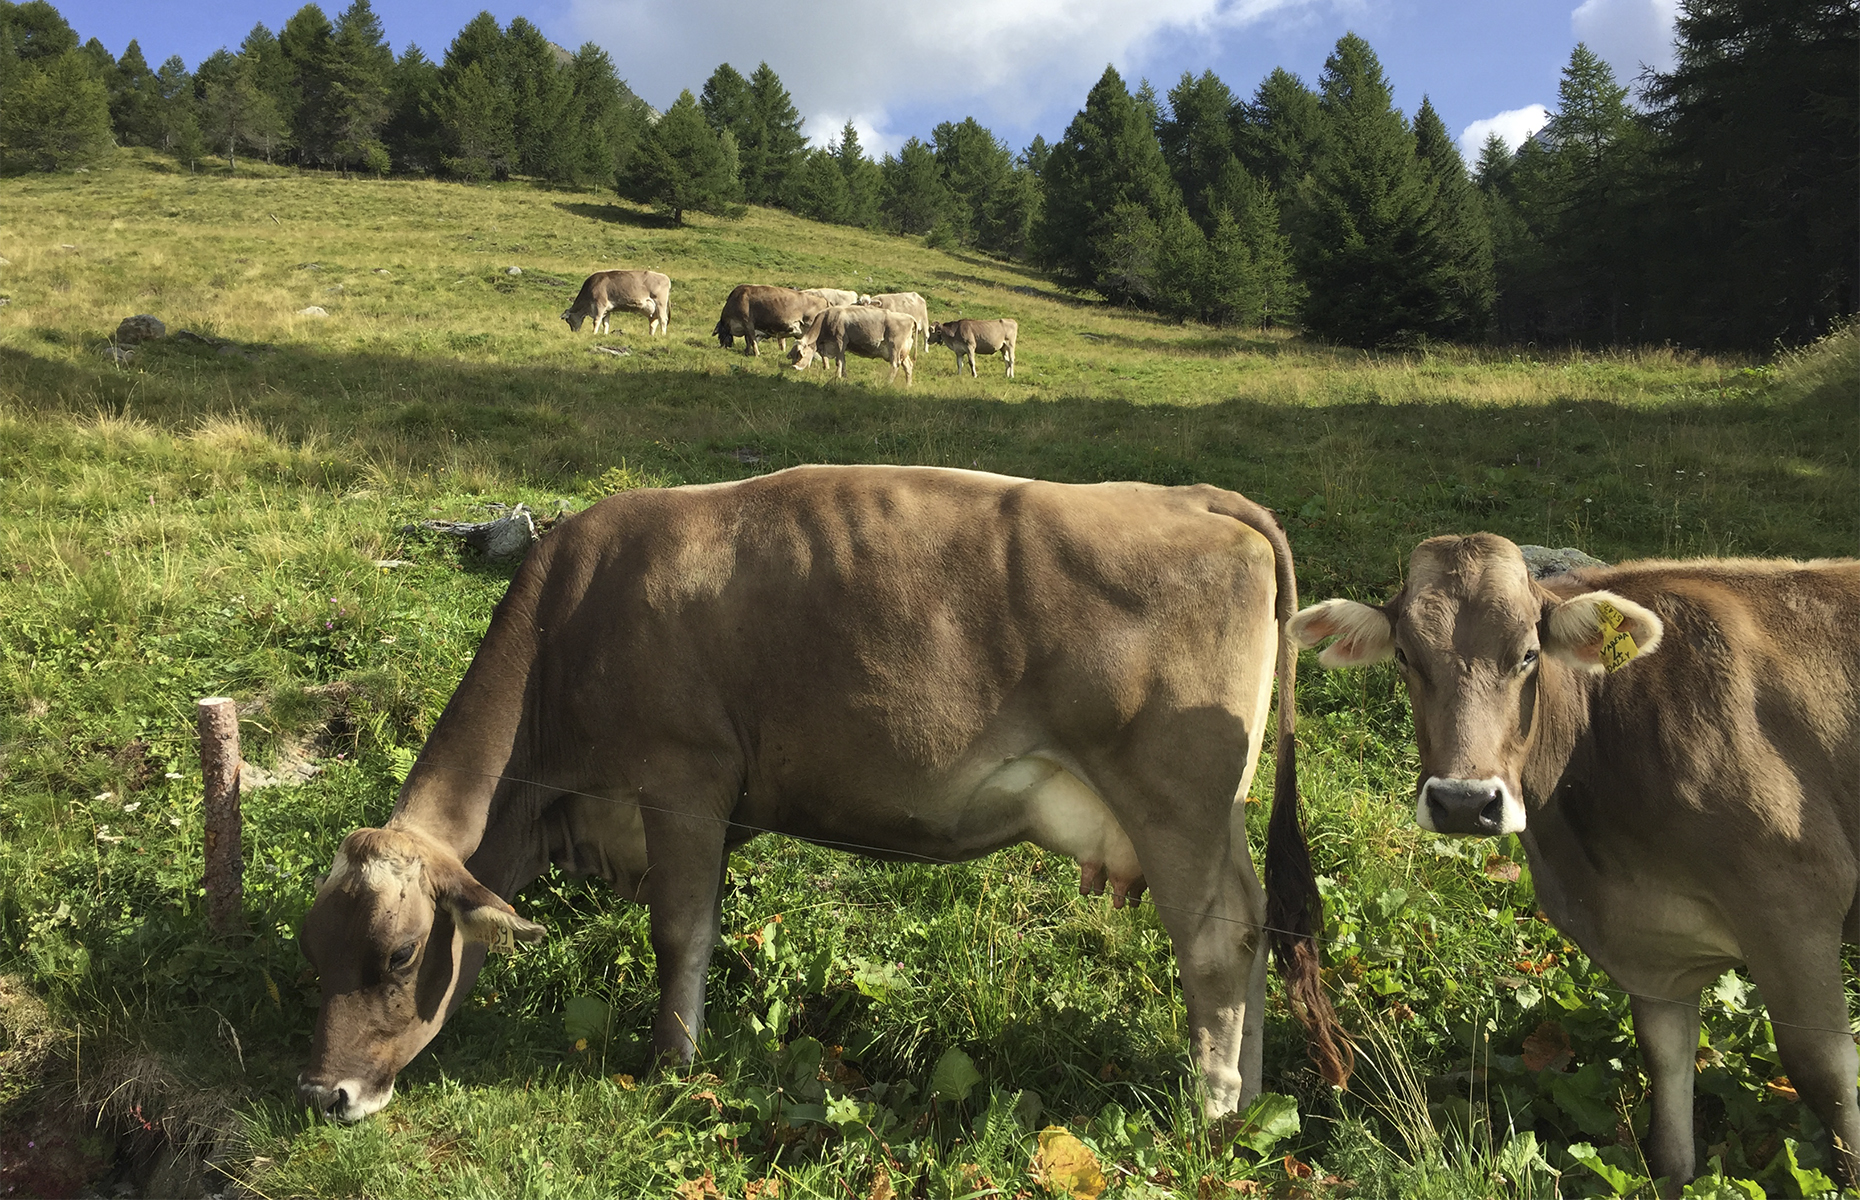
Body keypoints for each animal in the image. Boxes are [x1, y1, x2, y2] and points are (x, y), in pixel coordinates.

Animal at [301, 461, 1354, 1123]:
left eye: (400, 957)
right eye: (318, 950)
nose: (323, 1094)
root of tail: (1198, 500)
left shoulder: (683, 779)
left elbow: (680, 932)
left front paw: (672, 1066)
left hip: (1176, 799)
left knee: (1216, 940)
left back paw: (1213, 1113)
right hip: (1214, 815)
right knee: (1257, 928)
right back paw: (1253, 1101)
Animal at [788, 301, 918, 381]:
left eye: (800, 355)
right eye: (792, 355)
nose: (794, 368)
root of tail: (910, 318)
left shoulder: (840, 342)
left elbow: (839, 362)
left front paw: (837, 377)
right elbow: (843, 362)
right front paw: (844, 377)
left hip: (895, 347)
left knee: (895, 365)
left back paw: (887, 383)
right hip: (903, 351)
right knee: (908, 366)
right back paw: (908, 386)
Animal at [1294, 539, 1860, 1190]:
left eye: (1528, 655)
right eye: (1407, 656)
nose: (1462, 802)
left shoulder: (1793, 905)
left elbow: (1825, 1074)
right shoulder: (1649, 948)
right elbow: (1667, 1086)